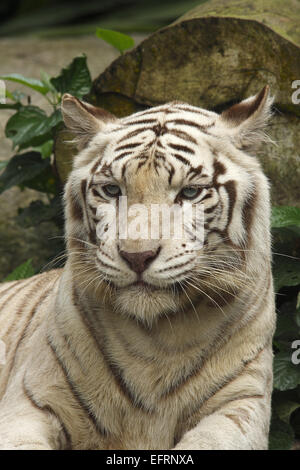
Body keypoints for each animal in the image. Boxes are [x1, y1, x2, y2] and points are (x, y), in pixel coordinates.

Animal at [0, 86, 276, 450]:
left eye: (190, 192)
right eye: (111, 189)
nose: (137, 256)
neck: (155, 342)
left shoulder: (240, 403)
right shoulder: (32, 401)